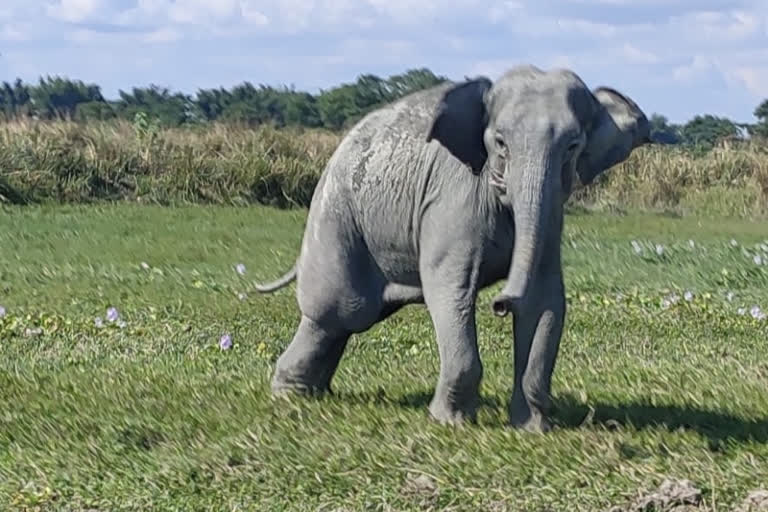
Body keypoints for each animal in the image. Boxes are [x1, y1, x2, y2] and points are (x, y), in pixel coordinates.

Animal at [255, 64, 656, 432]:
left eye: (573, 146)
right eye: (500, 142)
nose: (500, 304)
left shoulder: (552, 216)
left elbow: (547, 299)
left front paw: (532, 428)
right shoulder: (453, 198)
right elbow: (450, 287)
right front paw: (449, 422)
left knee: (350, 319)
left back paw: (316, 391)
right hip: (336, 219)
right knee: (338, 311)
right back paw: (291, 395)